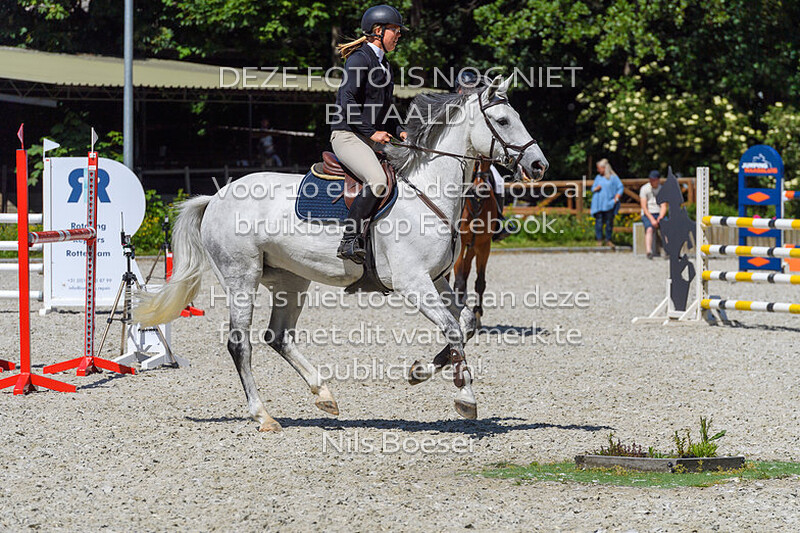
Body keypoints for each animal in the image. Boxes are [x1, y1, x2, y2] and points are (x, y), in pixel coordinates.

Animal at [134, 76, 548, 432]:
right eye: (502, 120)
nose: (538, 165)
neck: (427, 192)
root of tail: (215, 197)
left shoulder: (437, 279)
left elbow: (466, 325)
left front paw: (419, 372)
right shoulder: (412, 283)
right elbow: (452, 329)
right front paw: (465, 398)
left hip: (291, 280)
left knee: (277, 336)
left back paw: (324, 394)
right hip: (242, 277)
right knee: (241, 343)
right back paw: (264, 416)